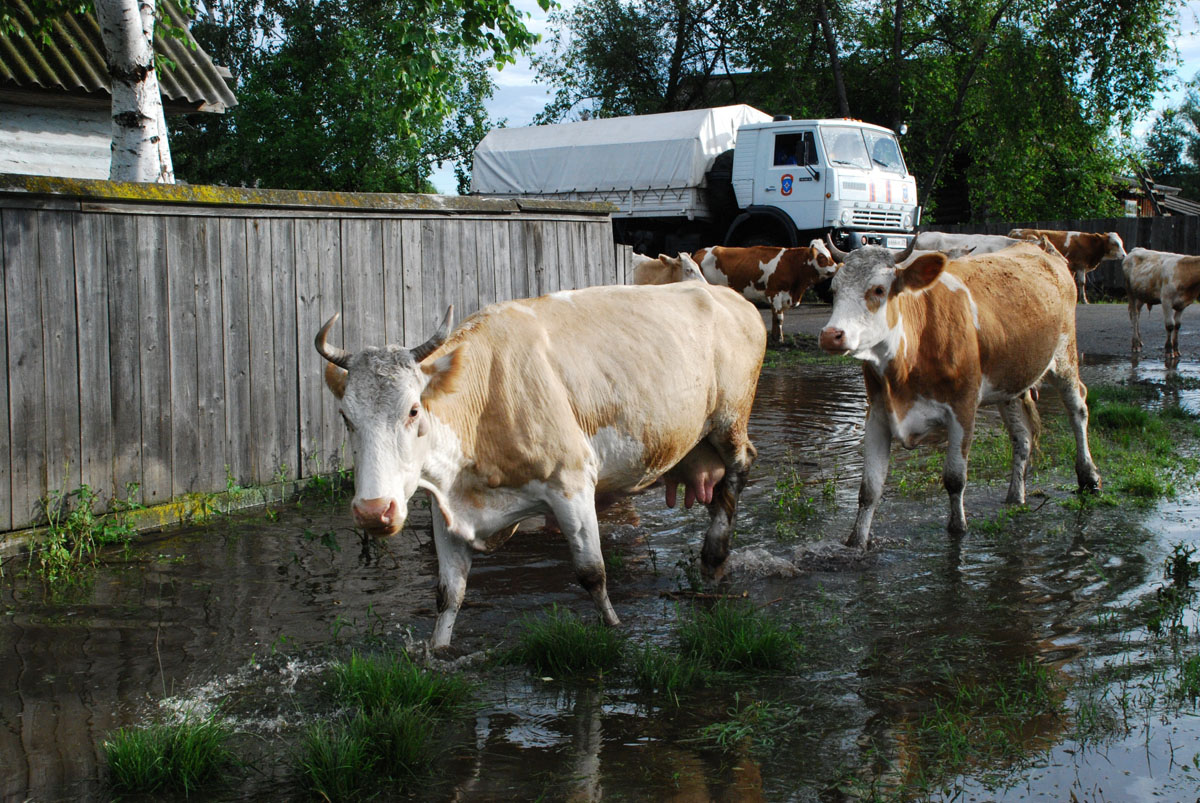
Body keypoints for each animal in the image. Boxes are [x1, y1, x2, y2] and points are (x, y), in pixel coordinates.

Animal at [691, 237, 840, 338]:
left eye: (829, 254)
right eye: (821, 257)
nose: (836, 267)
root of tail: (701, 251)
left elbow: (776, 318)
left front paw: (775, 338)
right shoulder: (775, 293)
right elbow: (778, 317)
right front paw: (779, 340)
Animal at [816, 241, 1099, 547]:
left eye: (878, 290)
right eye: (834, 290)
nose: (830, 335)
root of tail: (1040, 247)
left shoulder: (963, 408)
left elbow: (954, 479)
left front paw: (958, 530)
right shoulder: (878, 413)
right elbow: (869, 489)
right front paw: (856, 543)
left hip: (1064, 355)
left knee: (1078, 409)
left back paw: (1089, 477)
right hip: (1009, 383)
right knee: (1021, 436)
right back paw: (1015, 495)